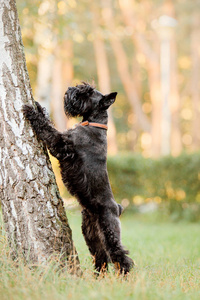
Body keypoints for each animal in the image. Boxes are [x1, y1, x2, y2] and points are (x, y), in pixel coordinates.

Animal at [22, 82, 134, 274]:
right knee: (101, 258)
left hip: (110, 232)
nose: (69, 90)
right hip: (91, 236)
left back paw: (124, 276)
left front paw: (31, 111)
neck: (94, 124)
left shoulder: (61, 145)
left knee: (121, 257)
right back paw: (97, 277)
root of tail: (118, 208)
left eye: (88, 92)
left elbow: (48, 129)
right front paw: (38, 105)